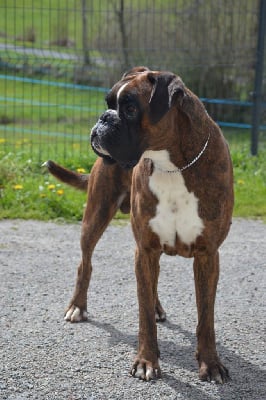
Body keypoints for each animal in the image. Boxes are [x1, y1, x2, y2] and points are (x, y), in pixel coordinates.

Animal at [45, 67, 233, 382]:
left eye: (131, 108)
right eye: (108, 102)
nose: (104, 117)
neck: (173, 164)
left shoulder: (207, 255)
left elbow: (206, 317)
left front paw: (211, 364)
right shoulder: (145, 249)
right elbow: (144, 314)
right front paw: (146, 361)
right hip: (96, 215)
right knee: (85, 264)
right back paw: (77, 307)